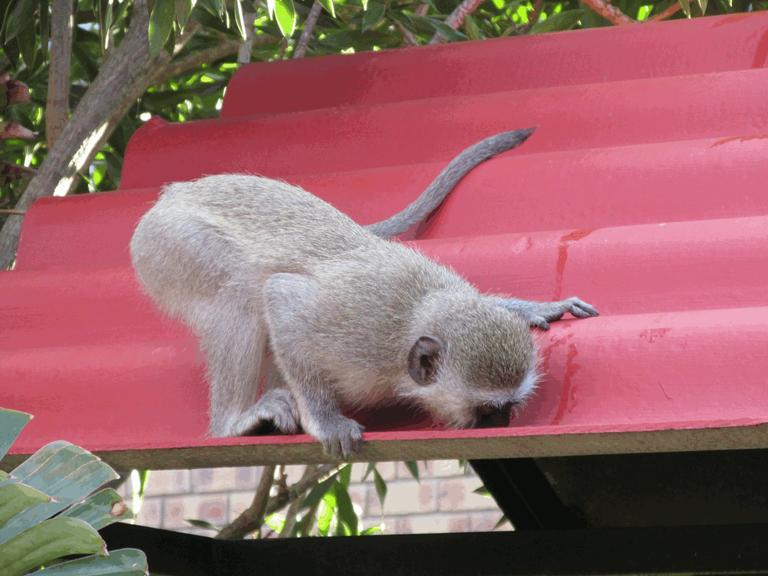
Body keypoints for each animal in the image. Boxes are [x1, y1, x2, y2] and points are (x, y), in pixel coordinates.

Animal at [130, 128, 600, 456]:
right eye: (487, 410)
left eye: (508, 406)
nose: (501, 424)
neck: (416, 316)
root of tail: (172, 195)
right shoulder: (358, 341)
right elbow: (282, 295)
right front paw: (324, 420)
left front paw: (535, 306)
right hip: (169, 244)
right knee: (236, 301)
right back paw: (232, 421)